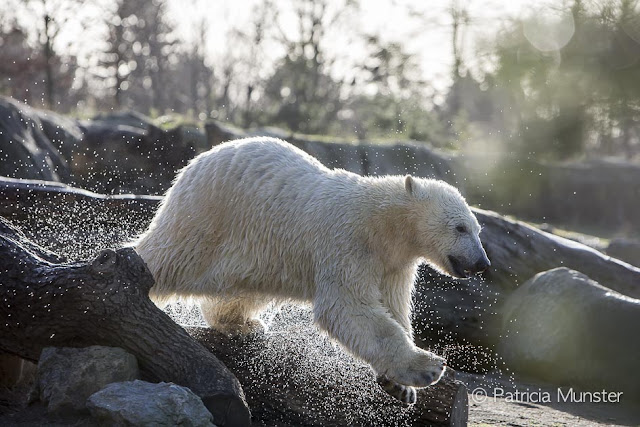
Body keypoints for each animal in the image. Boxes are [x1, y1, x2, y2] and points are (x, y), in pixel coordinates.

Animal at [132, 138, 488, 404]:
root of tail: (194, 164)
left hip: (256, 255)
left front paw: (400, 387)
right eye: (460, 228)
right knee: (171, 256)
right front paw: (426, 368)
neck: (382, 223)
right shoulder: (347, 243)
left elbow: (392, 309)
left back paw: (244, 324)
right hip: (209, 216)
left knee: (242, 290)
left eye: (478, 229)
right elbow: (349, 307)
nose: (482, 262)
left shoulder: (393, 264)